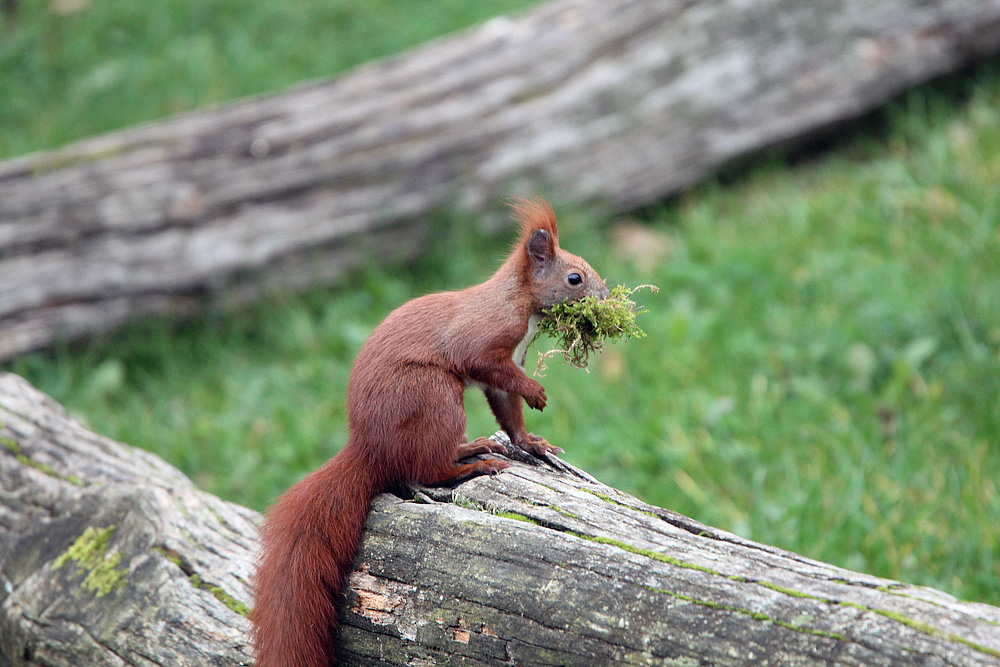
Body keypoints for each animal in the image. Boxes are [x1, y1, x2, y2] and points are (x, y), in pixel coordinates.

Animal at [250, 200, 608, 667]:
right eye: (574, 278)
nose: (607, 300)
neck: (520, 302)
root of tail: (370, 449)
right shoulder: (485, 339)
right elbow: (487, 365)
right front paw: (536, 392)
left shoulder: (509, 363)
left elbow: (508, 409)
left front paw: (531, 442)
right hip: (434, 395)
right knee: (427, 469)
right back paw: (473, 465)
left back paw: (474, 446)